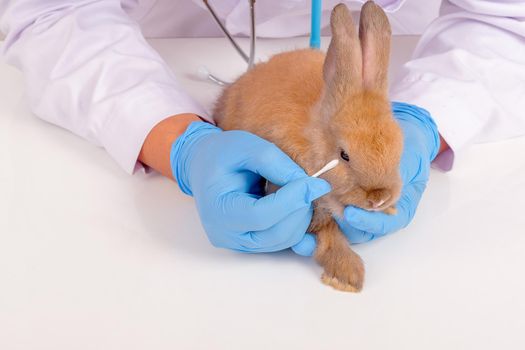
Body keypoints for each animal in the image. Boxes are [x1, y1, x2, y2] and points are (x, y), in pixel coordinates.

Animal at [213, 1, 402, 292]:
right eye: (344, 155)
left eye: (398, 144)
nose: (378, 198)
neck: (313, 137)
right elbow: (327, 229)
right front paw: (346, 275)